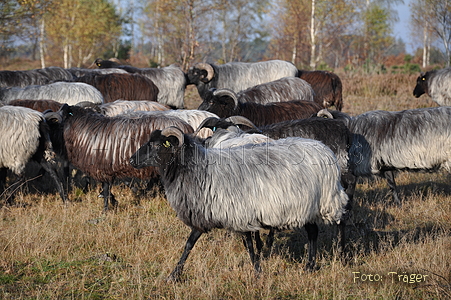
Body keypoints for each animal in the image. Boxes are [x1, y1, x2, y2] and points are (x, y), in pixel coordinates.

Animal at [44, 105, 194, 211]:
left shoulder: (102, 167)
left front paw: (105, 210)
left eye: (54, 122)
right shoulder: (105, 169)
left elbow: (106, 188)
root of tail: (187, 127)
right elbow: (107, 188)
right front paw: (113, 201)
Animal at [130, 125, 350, 280]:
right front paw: (174, 275)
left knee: (335, 223)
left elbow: (249, 246)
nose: (132, 160)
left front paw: (258, 273)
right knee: (313, 232)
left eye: (157, 145)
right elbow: (189, 244)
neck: (199, 171)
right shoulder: (205, 215)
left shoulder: (240, 215)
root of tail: (324, 149)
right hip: (307, 206)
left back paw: (337, 256)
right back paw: (310, 266)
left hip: (324, 200)